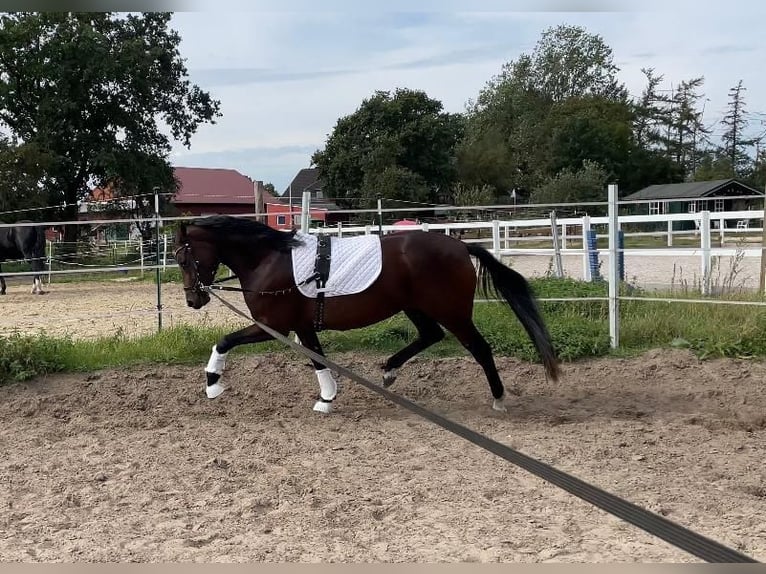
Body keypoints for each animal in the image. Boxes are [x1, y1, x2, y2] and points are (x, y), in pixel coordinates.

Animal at [177, 216, 560, 414]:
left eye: (182, 258)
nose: (193, 300)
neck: (270, 259)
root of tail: (461, 246)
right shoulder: (302, 326)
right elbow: (317, 359)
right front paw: (327, 399)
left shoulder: (274, 327)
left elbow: (224, 341)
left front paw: (213, 384)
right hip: (415, 307)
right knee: (431, 335)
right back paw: (389, 371)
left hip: (452, 313)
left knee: (479, 348)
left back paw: (498, 399)